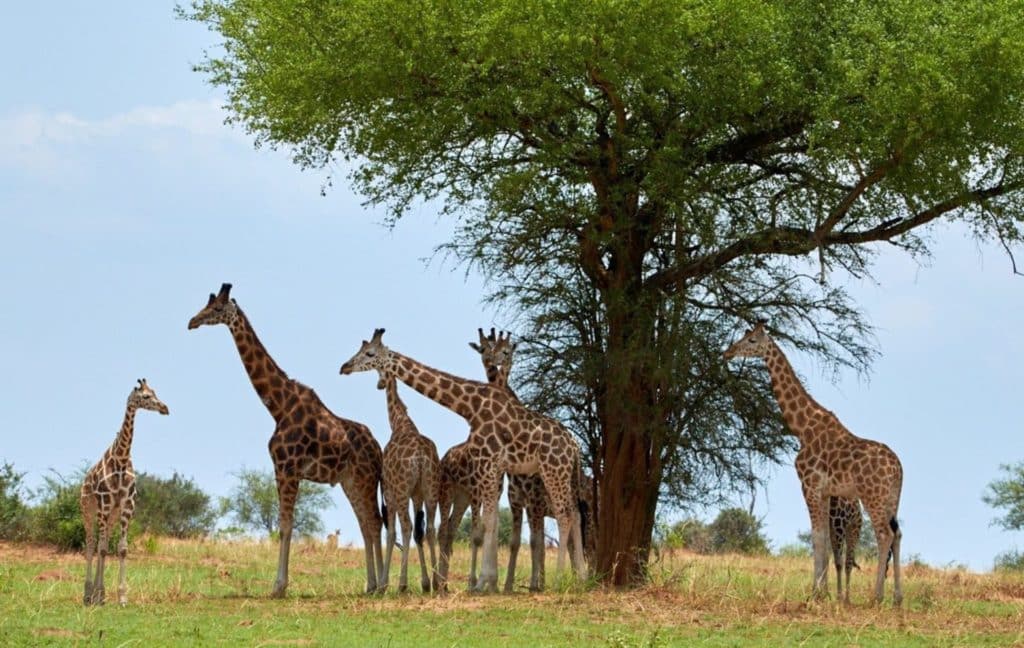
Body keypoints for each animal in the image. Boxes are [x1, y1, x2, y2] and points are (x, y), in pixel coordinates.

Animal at [80, 378, 169, 606]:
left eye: (155, 392)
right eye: (145, 396)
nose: (165, 408)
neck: (120, 459)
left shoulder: (127, 504)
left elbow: (121, 548)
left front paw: (121, 596)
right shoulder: (104, 502)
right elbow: (103, 549)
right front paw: (100, 594)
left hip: (111, 514)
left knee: (100, 543)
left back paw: (96, 594)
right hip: (89, 509)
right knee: (91, 545)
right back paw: (88, 594)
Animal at [188, 283, 385, 596]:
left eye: (217, 308)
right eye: (205, 303)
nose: (192, 322)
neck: (278, 407)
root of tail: (378, 449)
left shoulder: (287, 468)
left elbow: (285, 525)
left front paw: (278, 587)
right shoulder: (282, 469)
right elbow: (286, 525)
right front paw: (280, 585)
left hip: (365, 478)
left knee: (374, 522)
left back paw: (382, 584)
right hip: (350, 480)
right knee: (366, 524)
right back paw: (371, 584)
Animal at [376, 373, 441, 592]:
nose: (379, 385)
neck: (399, 423)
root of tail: (420, 456)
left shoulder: (390, 492)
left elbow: (391, 533)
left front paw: (384, 584)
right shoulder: (417, 495)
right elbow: (419, 534)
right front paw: (425, 582)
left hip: (402, 491)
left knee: (406, 526)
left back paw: (402, 584)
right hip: (431, 489)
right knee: (430, 528)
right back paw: (438, 582)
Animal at [468, 328, 596, 592]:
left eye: (506, 351)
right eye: (485, 348)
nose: (492, 364)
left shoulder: (534, 503)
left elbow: (536, 543)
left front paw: (536, 584)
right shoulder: (518, 502)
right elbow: (518, 542)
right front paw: (509, 585)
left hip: (582, 507)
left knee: (583, 537)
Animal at [724, 321, 903, 605]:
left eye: (752, 340)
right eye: (744, 335)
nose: (727, 353)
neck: (802, 429)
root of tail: (899, 468)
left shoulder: (809, 486)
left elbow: (817, 539)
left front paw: (816, 593)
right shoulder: (827, 491)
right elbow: (826, 542)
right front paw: (824, 591)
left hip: (872, 497)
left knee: (884, 534)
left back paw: (877, 597)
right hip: (891, 499)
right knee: (898, 534)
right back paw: (897, 598)